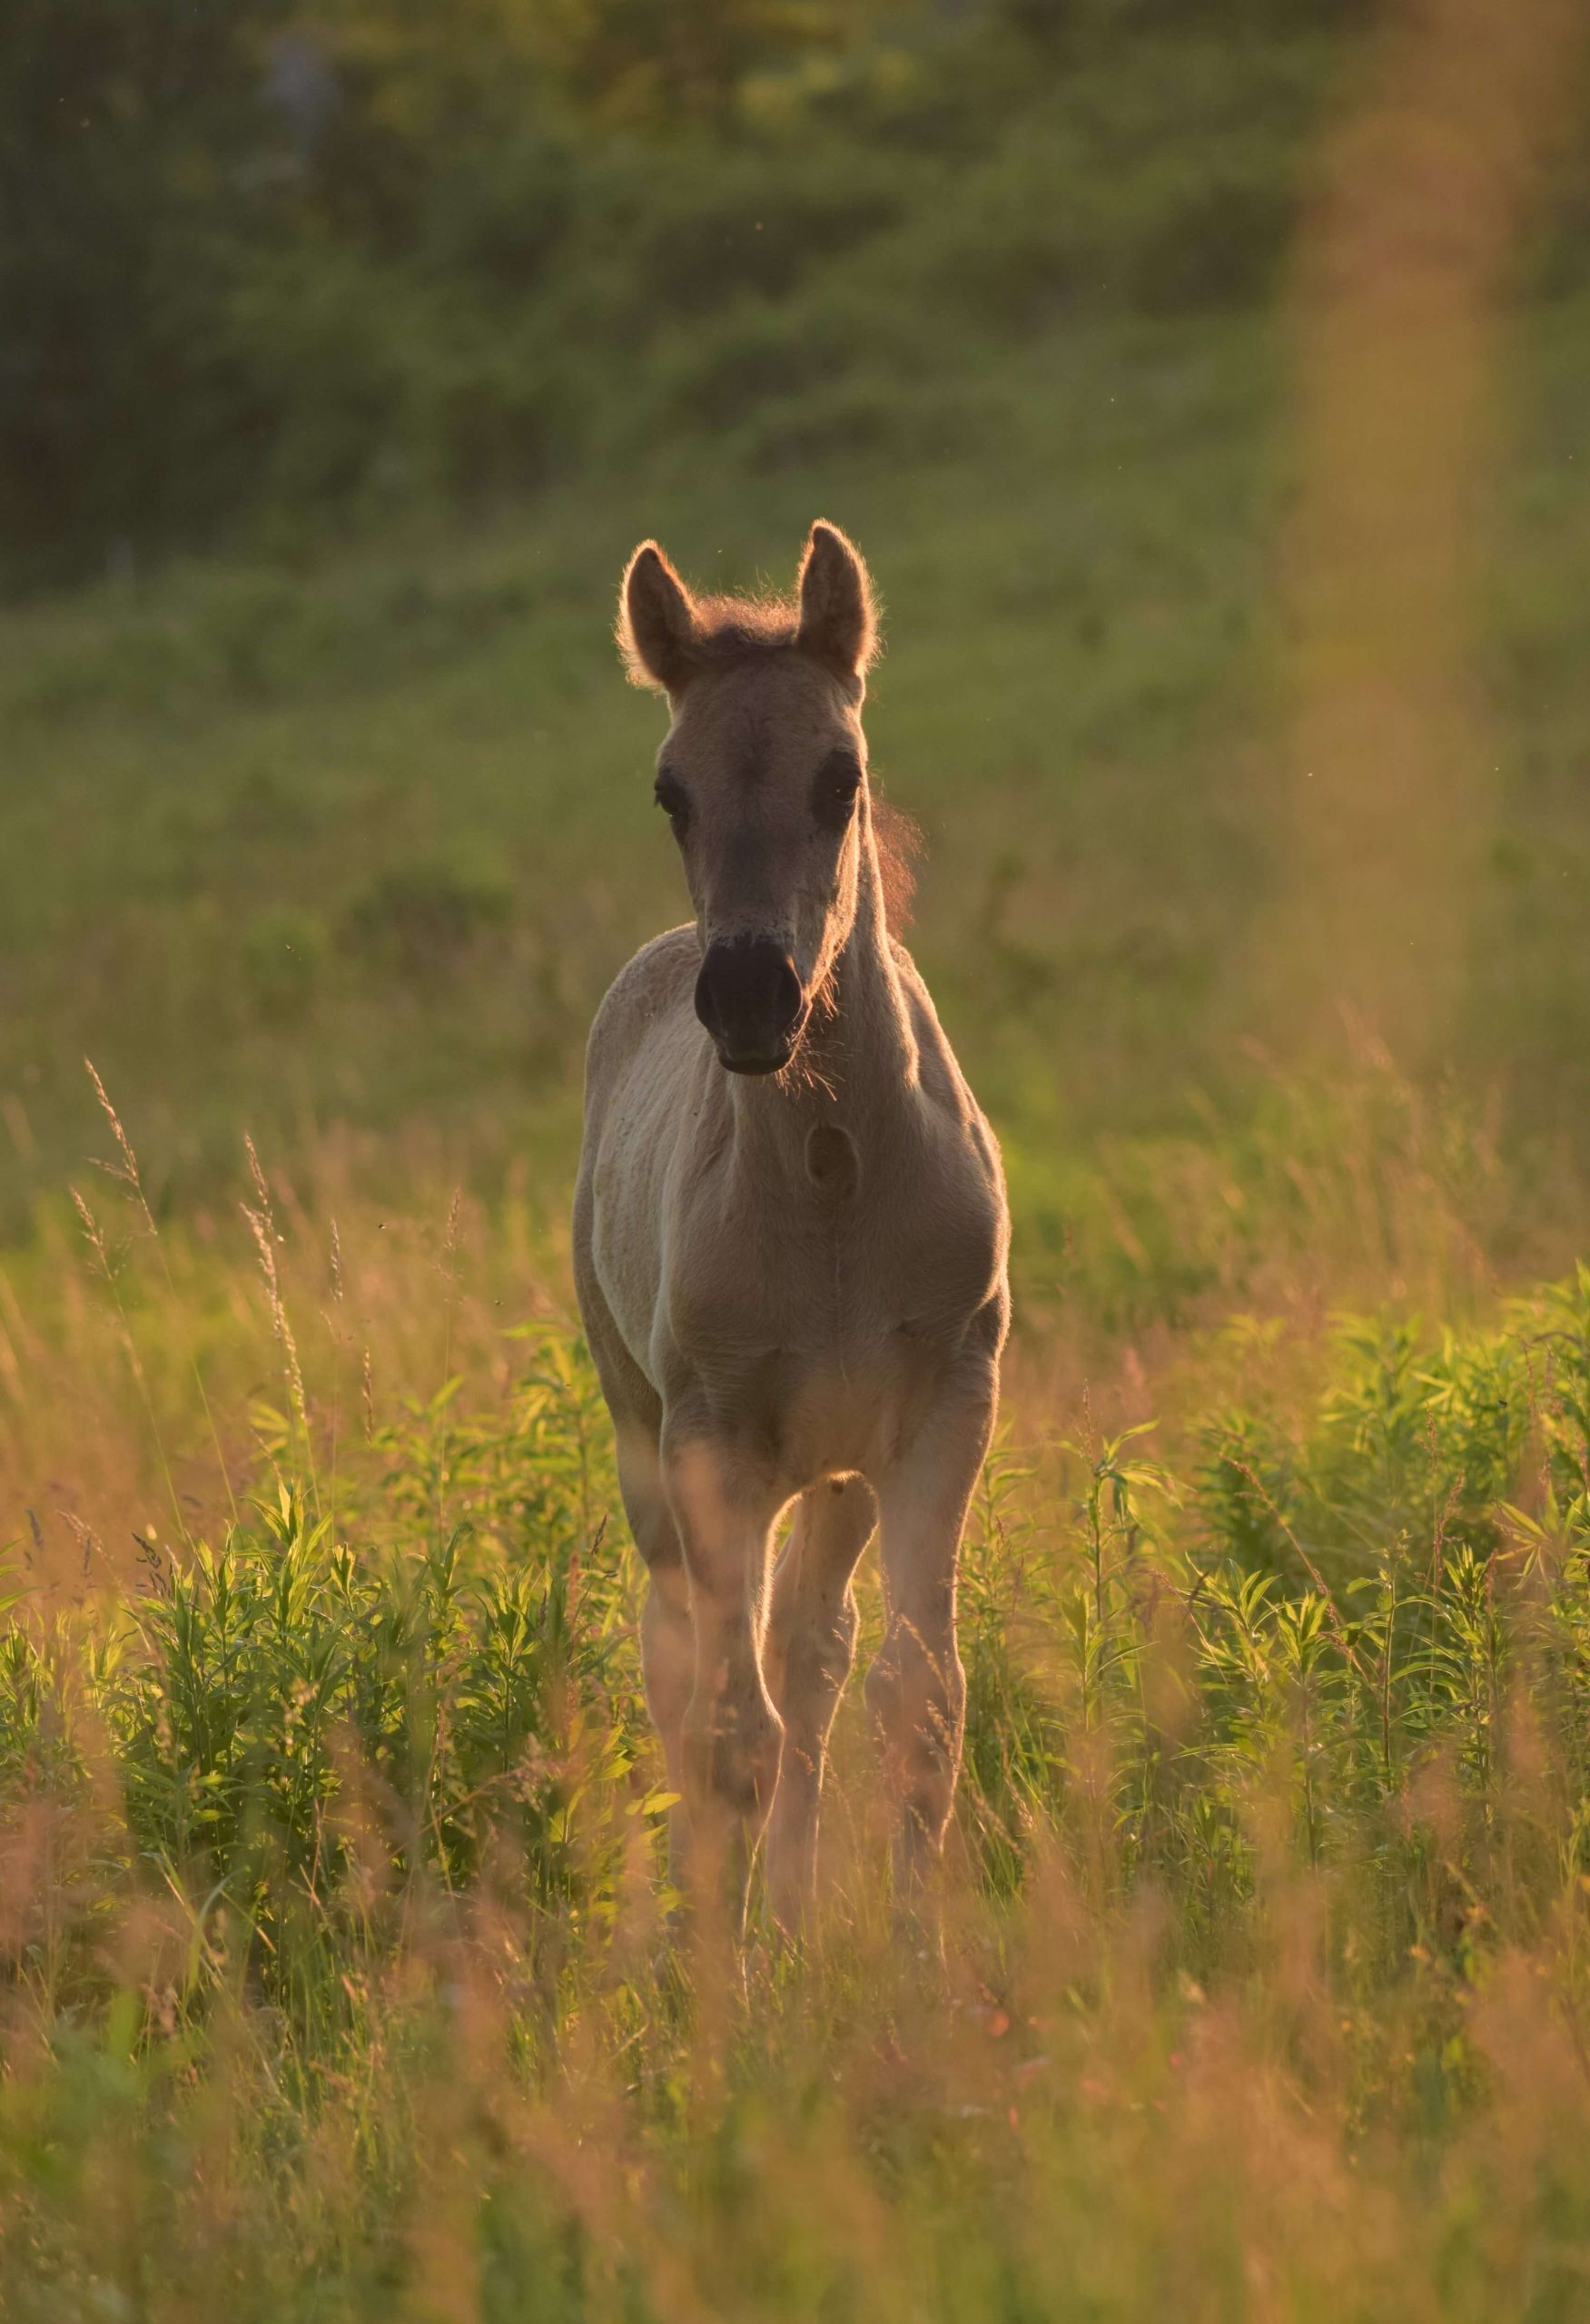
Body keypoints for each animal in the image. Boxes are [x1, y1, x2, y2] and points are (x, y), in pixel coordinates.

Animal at [576, 523, 1013, 1924]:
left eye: (842, 776)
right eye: (671, 791)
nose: (750, 994)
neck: (831, 1187)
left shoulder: (942, 1409)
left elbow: (916, 1700)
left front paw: (906, 1954)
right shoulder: (711, 1444)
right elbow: (729, 1735)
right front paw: (727, 1971)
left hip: (833, 1472)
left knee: (810, 1654)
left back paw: (795, 1904)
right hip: (650, 1444)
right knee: (684, 1670)